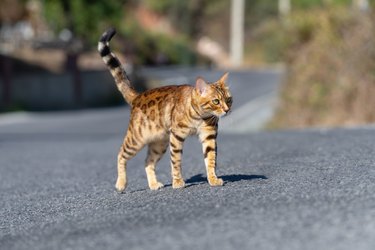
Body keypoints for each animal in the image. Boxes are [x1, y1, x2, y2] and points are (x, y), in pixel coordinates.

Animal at [97, 27, 232, 191]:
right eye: (216, 101)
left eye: (228, 100)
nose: (227, 110)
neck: (200, 116)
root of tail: (138, 96)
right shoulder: (177, 136)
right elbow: (176, 162)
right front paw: (178, 182)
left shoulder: (209, 136)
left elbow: (211, 160)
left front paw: (213, 179)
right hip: (136, 139)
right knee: (120, 154)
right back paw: (121, 183)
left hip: (159, 143)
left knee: (148, 162)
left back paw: (154, 184)